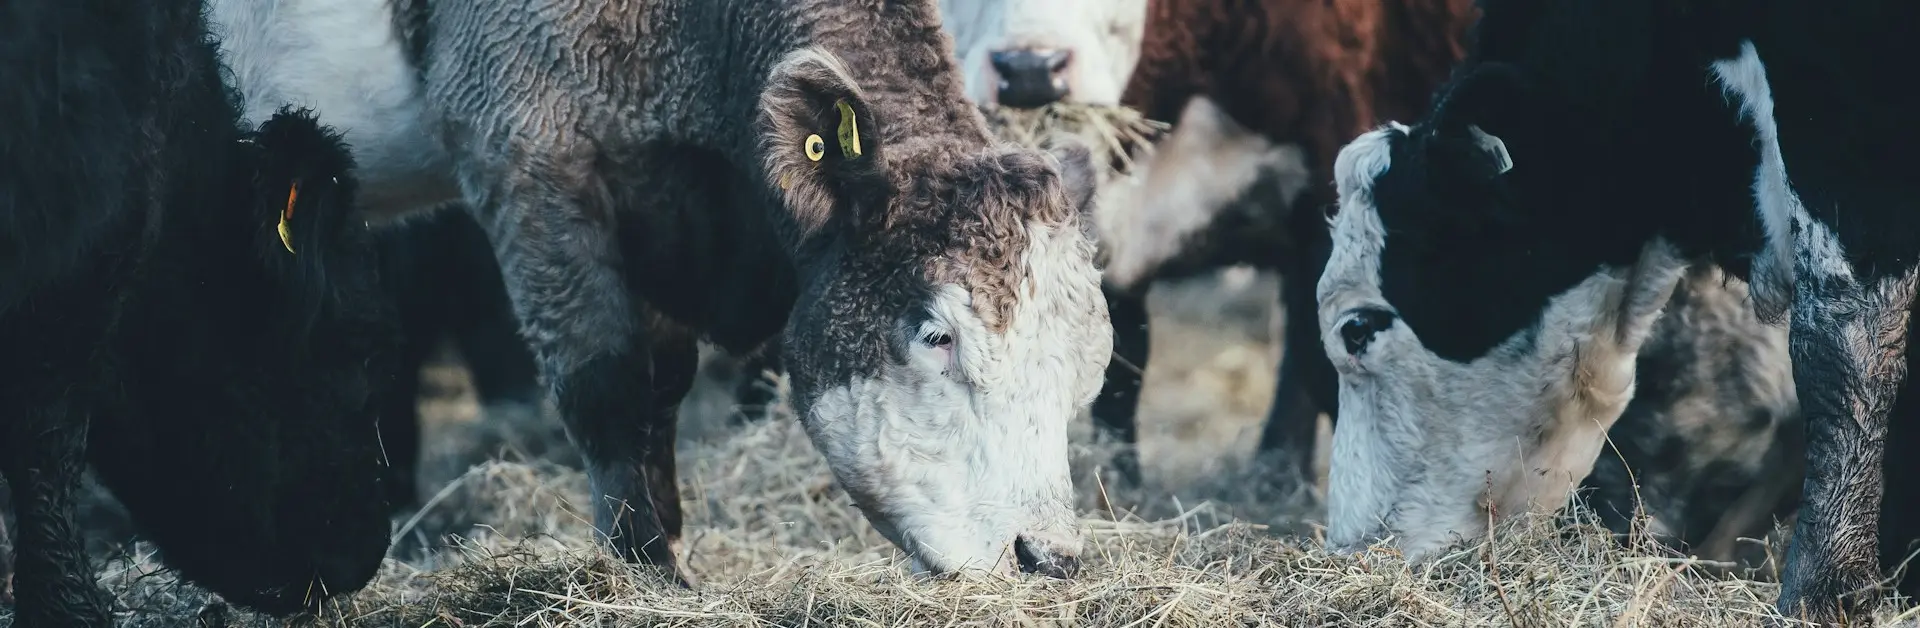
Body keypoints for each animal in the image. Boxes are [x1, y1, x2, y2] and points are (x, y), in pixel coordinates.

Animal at [204, 0, 1121, 583]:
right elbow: (606, 387)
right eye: (936, 334)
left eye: (1086, 368)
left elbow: (660, 394)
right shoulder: (525, 161)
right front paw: (645, 571)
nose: (1049, 557)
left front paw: (666, 542)